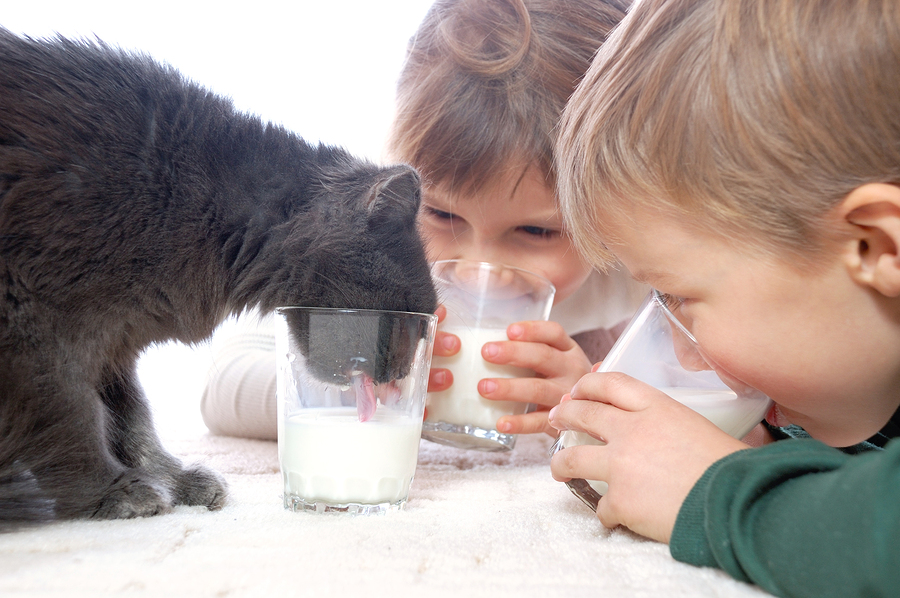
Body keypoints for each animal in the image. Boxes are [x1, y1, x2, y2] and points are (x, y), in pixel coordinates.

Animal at [0, 30, 440, 532]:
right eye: (405, 316)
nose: (401, 377)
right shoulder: (31, 323)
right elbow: (72, 413)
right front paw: (112, 490)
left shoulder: (115, 342)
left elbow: (133, 417)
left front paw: (172, 478)